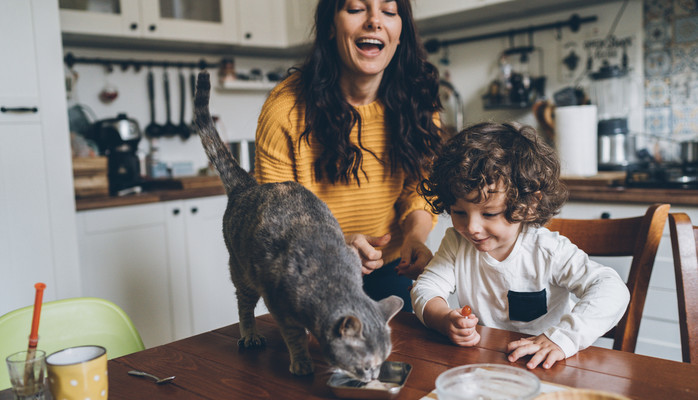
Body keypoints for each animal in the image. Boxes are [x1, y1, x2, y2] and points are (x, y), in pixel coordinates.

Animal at [193, 72, 402, 382]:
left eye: (383, 360)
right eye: (365, 364)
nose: (373, 378)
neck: (331, 277)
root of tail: (248, 185)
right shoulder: (278, 304)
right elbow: (293, 335)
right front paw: (301, 362)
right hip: (241, 271)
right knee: (244, 305)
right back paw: (250, 334)